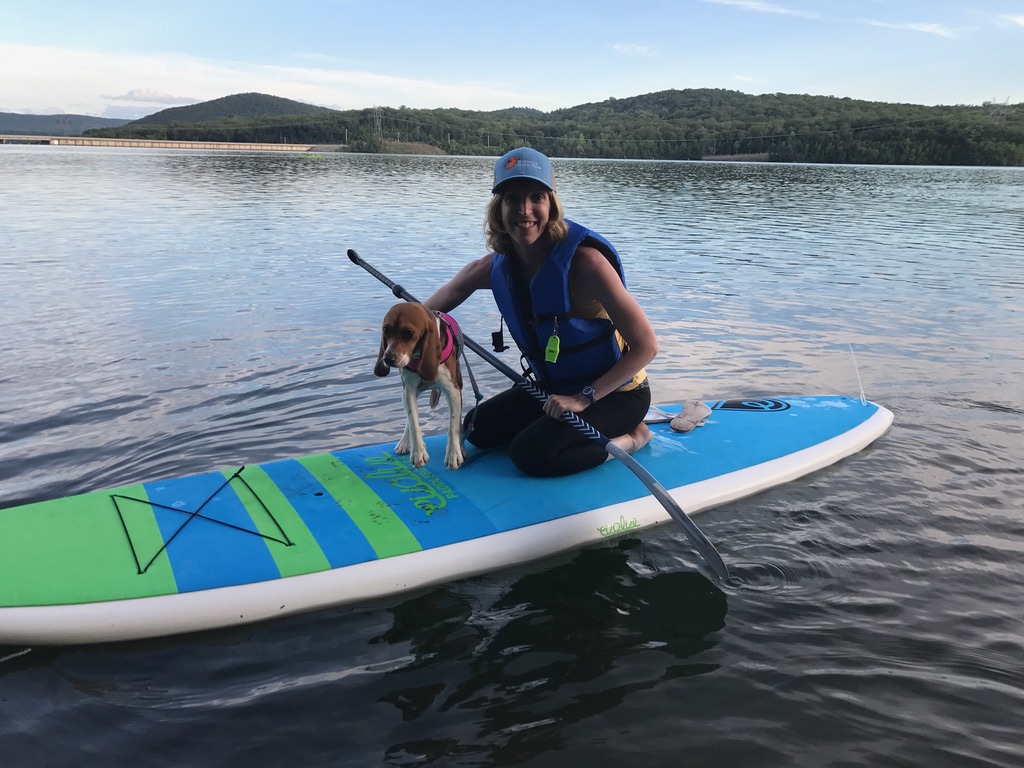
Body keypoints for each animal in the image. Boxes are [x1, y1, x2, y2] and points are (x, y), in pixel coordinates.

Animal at [374, 303, 466, 473]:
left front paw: (453, 453)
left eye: (408, 333)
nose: (387, 359)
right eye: (386, 330)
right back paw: (405, 442)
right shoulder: (409, 391)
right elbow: (413, 423)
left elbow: (453, 426)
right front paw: (418, 452)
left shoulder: (453, 392)